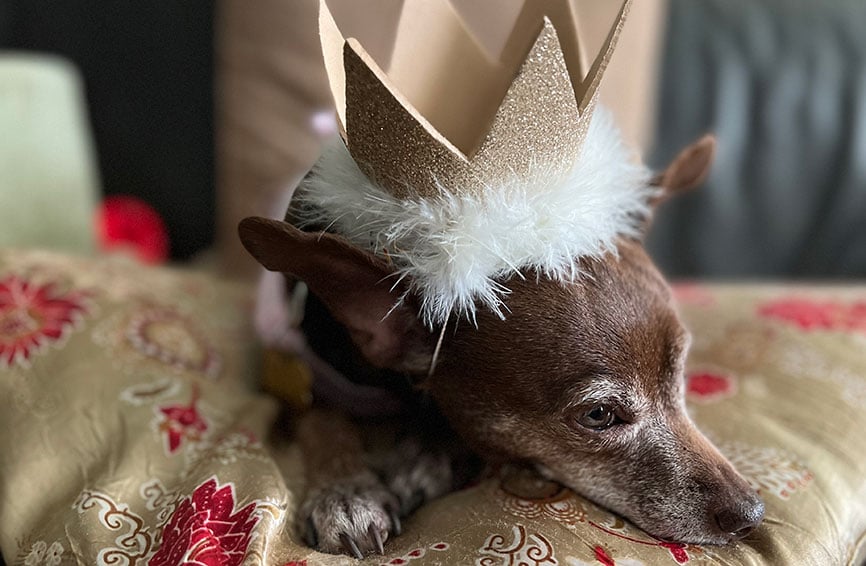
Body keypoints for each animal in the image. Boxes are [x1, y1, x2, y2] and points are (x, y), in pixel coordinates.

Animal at [236, 132, 764, 560]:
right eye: (598, 416)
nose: (751, 513)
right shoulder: (297, 376)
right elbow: (324, 421)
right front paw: (345, 494)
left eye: (680, 376)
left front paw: (423, 457)